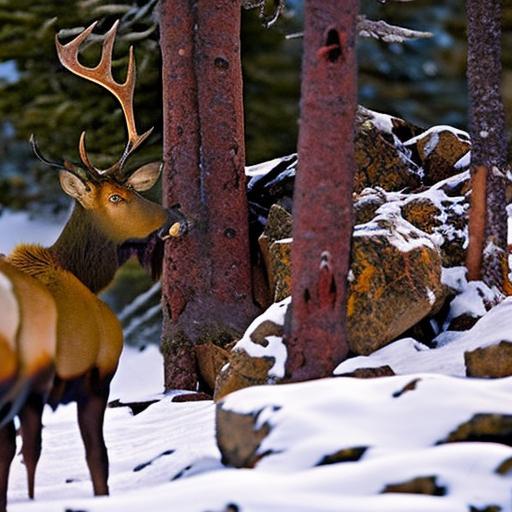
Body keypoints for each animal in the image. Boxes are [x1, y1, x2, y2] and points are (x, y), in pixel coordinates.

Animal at [0, 21, 178, 512]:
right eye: (116, 197)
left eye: (133, 189)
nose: (176, 215)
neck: (83, 276)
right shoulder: (96, 373)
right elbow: (95, 458)